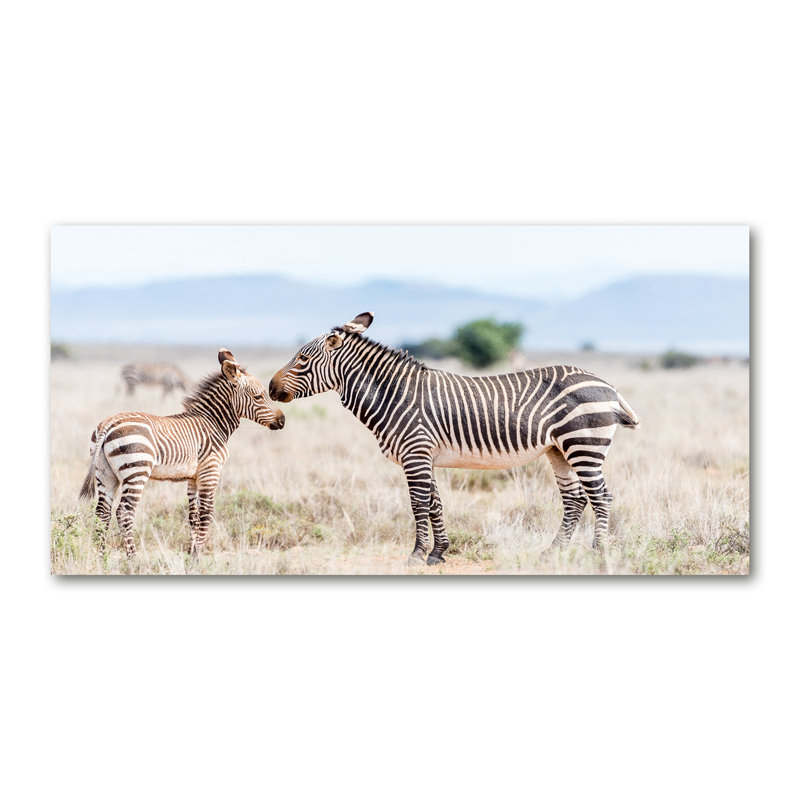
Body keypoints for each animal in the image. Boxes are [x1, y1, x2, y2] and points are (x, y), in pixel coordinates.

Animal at [80, 349, 285, 556]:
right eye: (258, 397)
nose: (282, 420)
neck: (213, 422)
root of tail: (108, 424)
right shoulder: (210, 472)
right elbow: (206, 513)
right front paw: (199, 554)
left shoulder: (193, 477)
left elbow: (193, 515)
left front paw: (192, 551)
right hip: (136, 470)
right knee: (124, 512)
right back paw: (133, 557)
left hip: (105, 473)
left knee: (102, 513)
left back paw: (101, 556)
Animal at [269, 312, 639, 565]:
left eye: (302, 359)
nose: (271, 389)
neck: (393, 395)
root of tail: (608, 384)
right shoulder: (424, 456)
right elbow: (435, 502)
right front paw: (438, 553)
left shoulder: (415, 452)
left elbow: (419, 503)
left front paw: (416, 554)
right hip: (558, 450)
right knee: (575, 499)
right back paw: (553, 552)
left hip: (584, 445)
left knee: (601, 496)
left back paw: (598, 553)